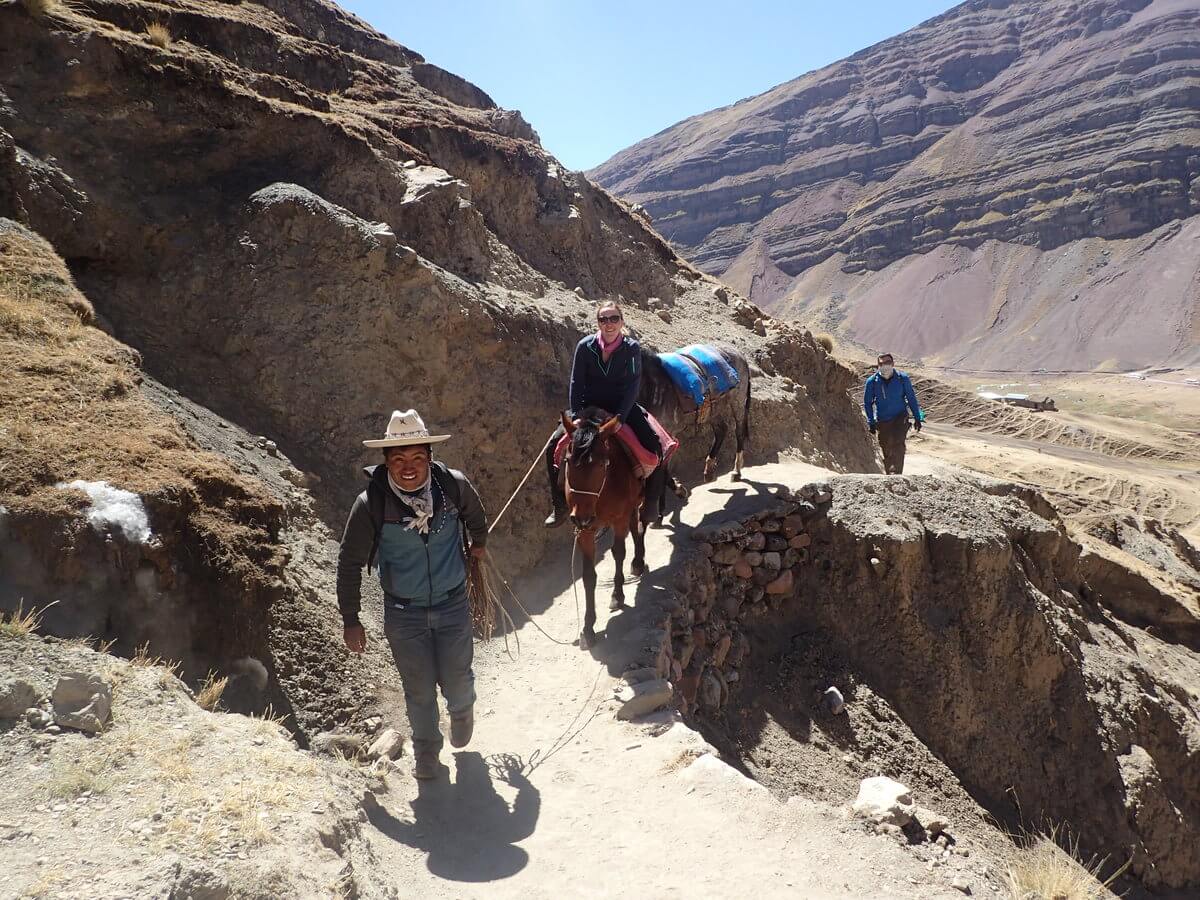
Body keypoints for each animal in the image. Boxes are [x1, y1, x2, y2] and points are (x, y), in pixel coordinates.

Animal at [561, 408, 648, 648]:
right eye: (568, 461)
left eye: (601, 464)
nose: (581, 517)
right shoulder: (585, 531)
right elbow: (588, 576)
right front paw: (588, 628)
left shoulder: (618, 519)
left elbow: (618, 553)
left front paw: (617, 596)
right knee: (636, 526)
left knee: (639, 525)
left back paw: (638, 562)